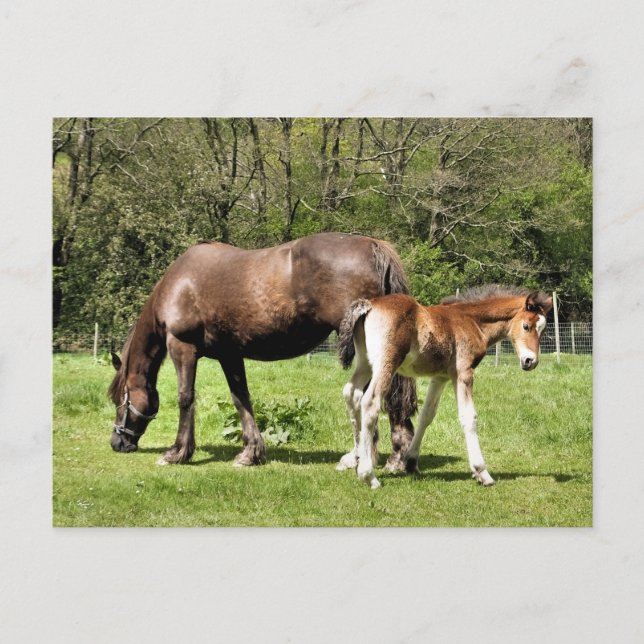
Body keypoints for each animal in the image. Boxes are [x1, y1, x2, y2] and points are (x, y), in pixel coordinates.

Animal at [108, 232, 417, 470]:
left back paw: (373, 458)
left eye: (120, 400)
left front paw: (177, 453)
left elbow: (185, 398)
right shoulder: (230, 355)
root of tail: (373, 246)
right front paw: (250, 453)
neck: (178, 285)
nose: (117, 442)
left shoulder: (182, 347)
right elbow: (241, 399)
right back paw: (399, 456)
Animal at [337, 285, 553, 489]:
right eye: (526, 326)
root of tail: (370, 305)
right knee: (370, 402)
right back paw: (368, 475)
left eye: (542, 330)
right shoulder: (463, 373)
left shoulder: (440, 377)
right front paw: (482, 473)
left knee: (351, 394)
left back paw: (356, 459)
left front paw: (411, 462)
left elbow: (427, 415)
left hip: (365, 362)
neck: (472, 321)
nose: (530, 361)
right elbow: (469, 417)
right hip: (386, 364)